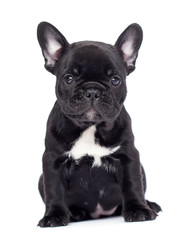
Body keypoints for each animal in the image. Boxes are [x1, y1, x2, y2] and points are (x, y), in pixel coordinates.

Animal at [36, 22, 161, 227]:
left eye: (115, 80)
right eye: (69, 78)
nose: (92, 90)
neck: (90, 126)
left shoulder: (129, 157)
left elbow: (133, 184)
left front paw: (138, 209)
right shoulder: (53, 160)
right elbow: (54, 190)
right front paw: (54, 215)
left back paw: (149, 205)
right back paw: (75, 213)